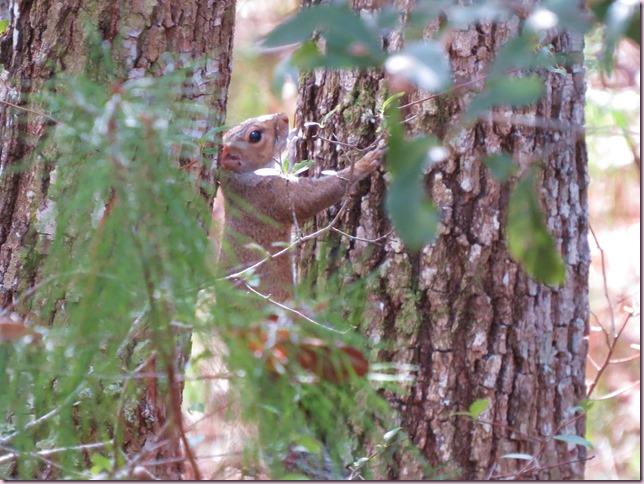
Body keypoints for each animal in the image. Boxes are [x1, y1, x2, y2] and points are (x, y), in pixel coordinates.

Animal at [216, 112, 386, 302]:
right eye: (254, 136)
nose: (284, 117)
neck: (240, 179)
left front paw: (296, 134)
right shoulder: (270, 197)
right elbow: (313, 197)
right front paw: (364, 164)